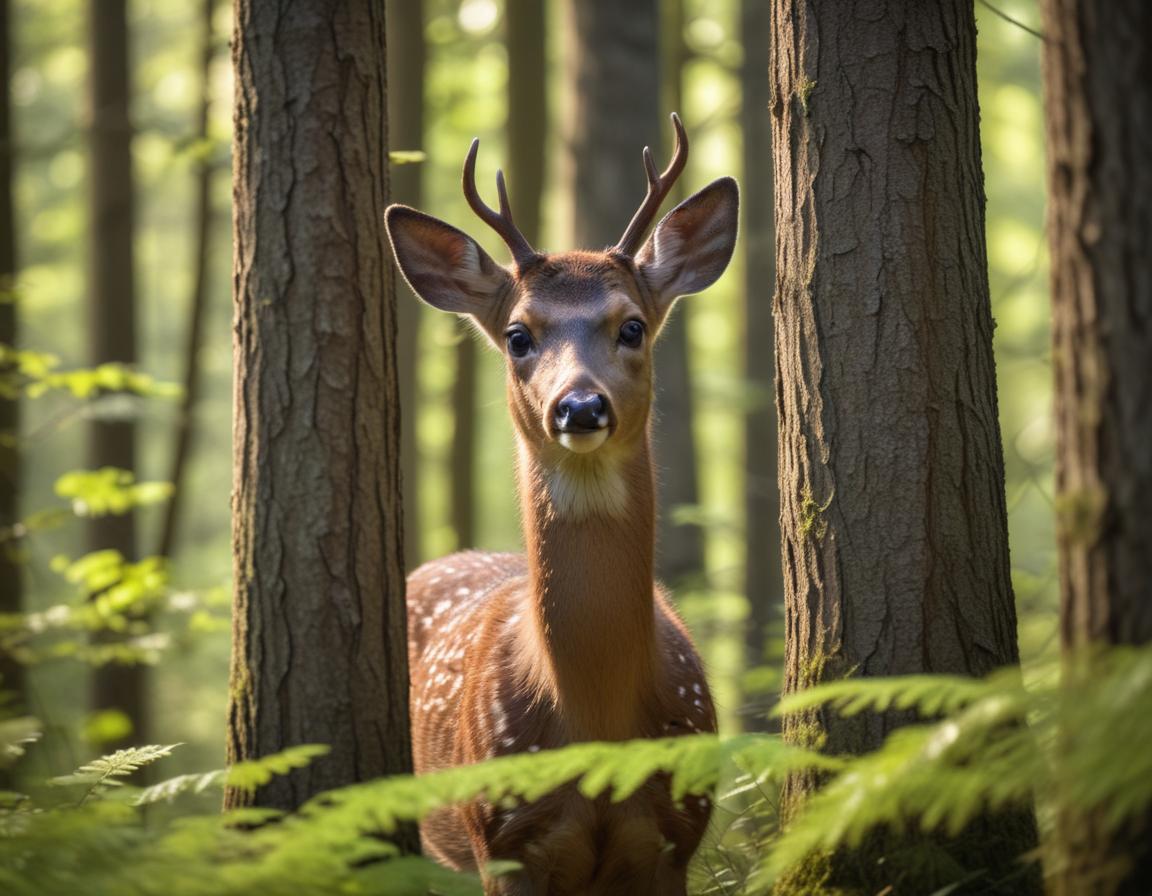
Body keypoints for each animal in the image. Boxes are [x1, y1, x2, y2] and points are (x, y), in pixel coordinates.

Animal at [385, 113, 738, 896]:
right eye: (519, 335)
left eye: (632, 325)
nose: (579, 406)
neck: (596, 718)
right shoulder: (504, 838)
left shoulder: (676, 834)